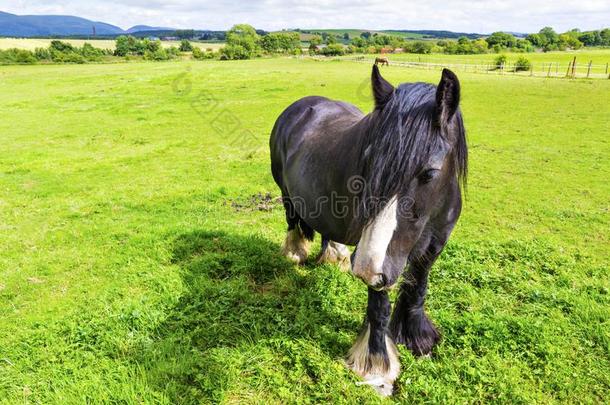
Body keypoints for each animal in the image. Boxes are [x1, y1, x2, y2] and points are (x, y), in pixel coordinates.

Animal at [268, 66, 464, 394]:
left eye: (429, 172)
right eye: (369, 160)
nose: (363, 268)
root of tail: (299, 105)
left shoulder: (434, 245)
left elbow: (417, 290)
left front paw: (418, 340)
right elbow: (379, 308)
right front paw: (377, 367)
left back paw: (334, 255)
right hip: (285, 194)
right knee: (293, 220)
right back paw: (295, 252)